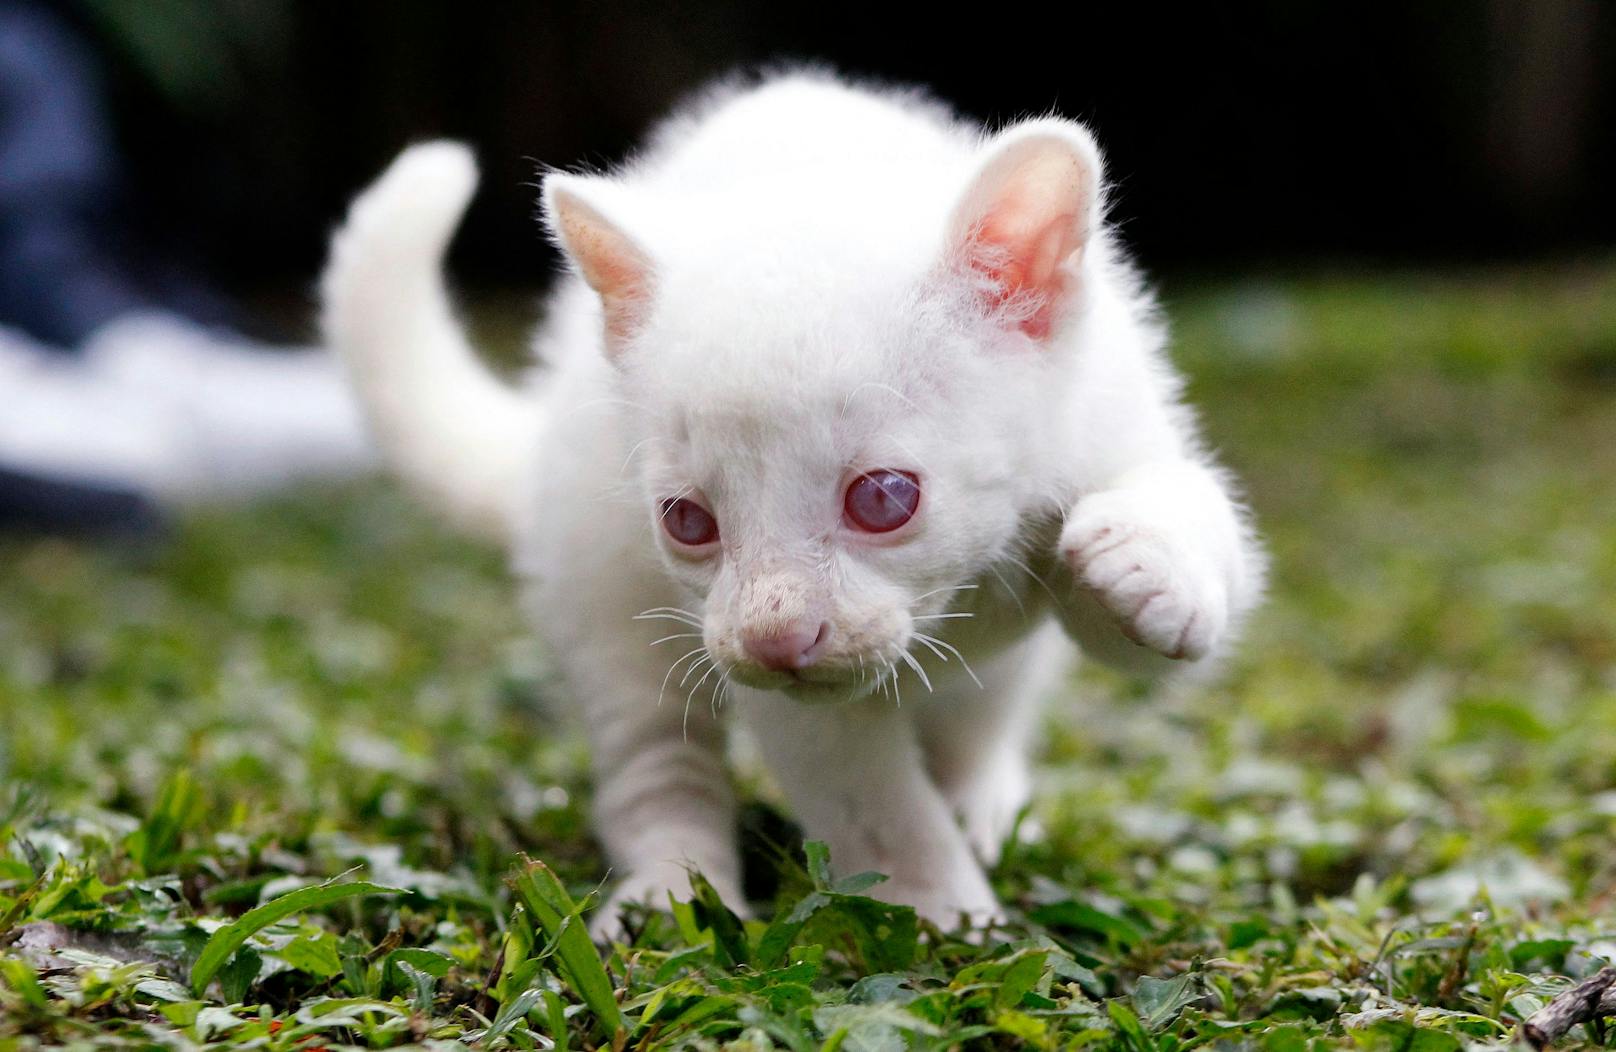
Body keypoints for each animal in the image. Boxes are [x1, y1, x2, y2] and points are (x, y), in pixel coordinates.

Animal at [321, 71, 1266, 930]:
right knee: (652, 761)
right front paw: (954, 922)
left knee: (982, 709)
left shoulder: (1108, 414)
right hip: (600, 588)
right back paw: (673, 894)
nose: (775, 639)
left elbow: (1174, 558)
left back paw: (983, 798)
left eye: (883, 498)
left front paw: (1148, 567)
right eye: (687, 520)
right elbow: (879, 816)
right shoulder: (794, 704)